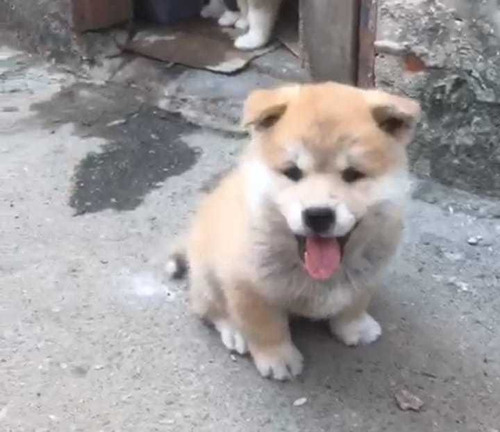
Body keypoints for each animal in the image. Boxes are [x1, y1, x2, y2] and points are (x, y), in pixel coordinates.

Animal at [167, 82, 418, 380]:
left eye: (353, 174)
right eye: (293, 172)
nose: (318, 215)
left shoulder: (370, 273)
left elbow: (355, 301)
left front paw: (355, 326)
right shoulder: (246, 284)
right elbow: (265, 326)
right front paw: (278, 358)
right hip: (207, 274)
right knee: (208, 308)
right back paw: (234, 332)